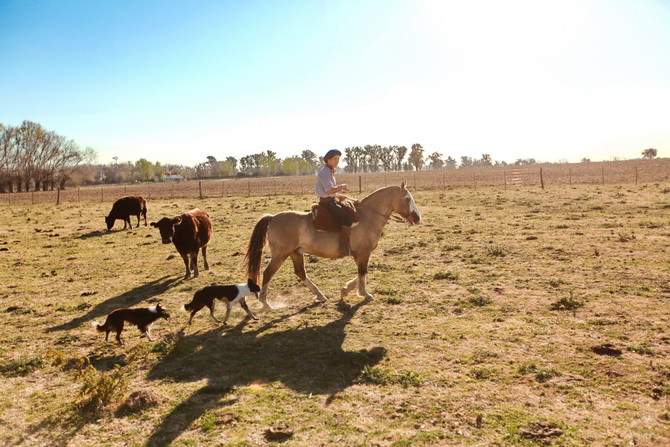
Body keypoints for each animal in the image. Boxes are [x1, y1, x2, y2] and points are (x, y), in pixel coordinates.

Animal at [244, 182, 422, 312]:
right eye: (407, 199)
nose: (417, 217)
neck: (367, 217)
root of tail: (273, 217)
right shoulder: (364, 253)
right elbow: (363, 272)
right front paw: (364, 294)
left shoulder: (358, 254)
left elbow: (361, 273)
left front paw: (346, 290)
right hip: (280, 254)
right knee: (268, 274)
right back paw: (265, 304)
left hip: (295, 253)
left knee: (300, 273)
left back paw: (319, 295)